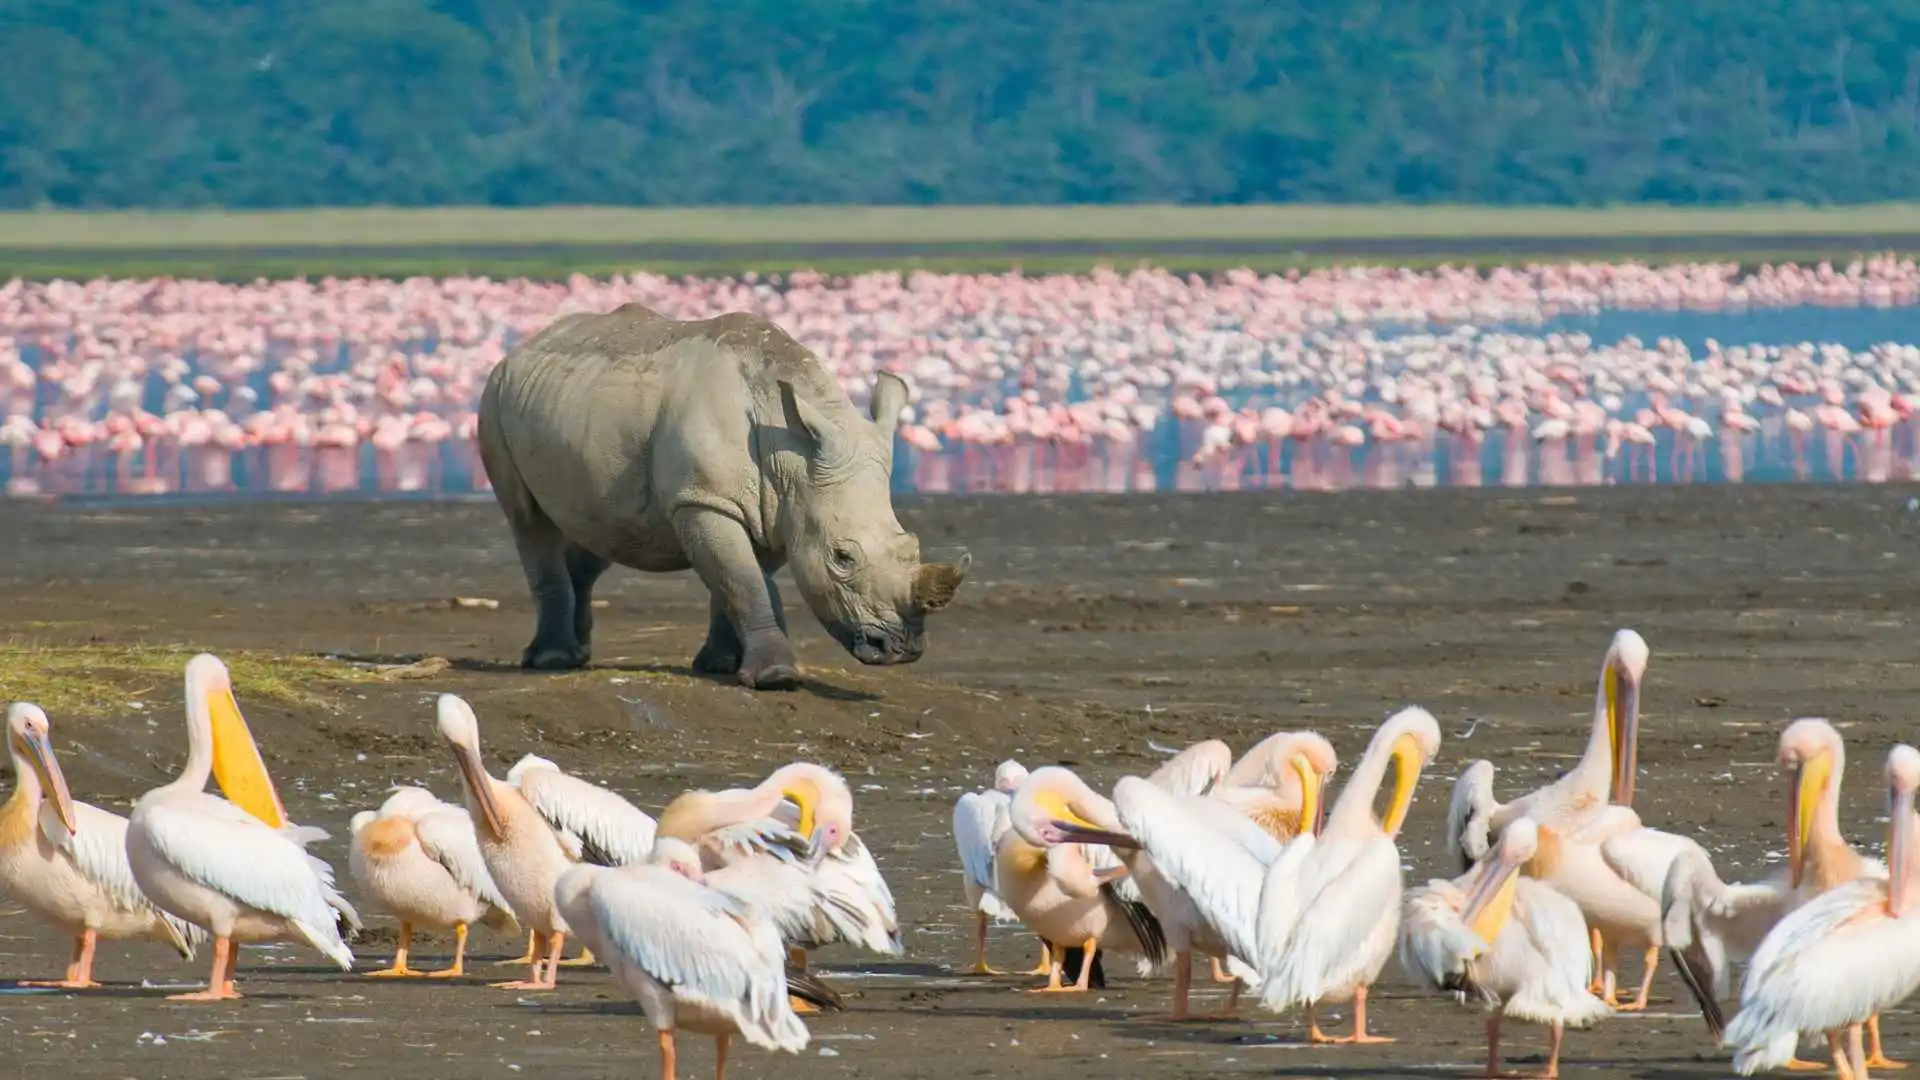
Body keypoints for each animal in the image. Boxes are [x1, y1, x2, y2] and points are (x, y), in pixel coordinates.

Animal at [475, 303, 970, 689]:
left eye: (911, 547)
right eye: (842, 557)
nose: (901, 649)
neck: (790, 453)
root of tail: (524, 346)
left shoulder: (778, 507)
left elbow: (741, 579)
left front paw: (721, 666)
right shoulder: (705, 499)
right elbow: (741, 578)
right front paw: (775, 678)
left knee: (600, 530)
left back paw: (576, 656)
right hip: (493, 397)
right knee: (529, 519)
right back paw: (552, 661)